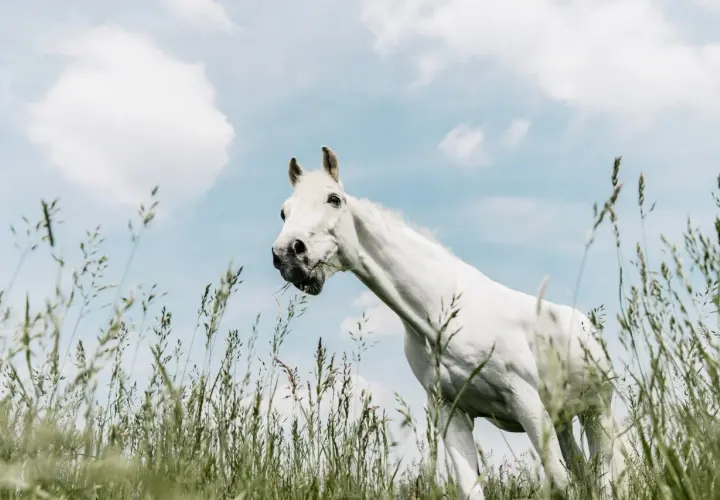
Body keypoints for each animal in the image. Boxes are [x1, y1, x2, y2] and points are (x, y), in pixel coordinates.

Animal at [270, 146, 628, 499]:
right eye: (284, 212)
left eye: (334, 199)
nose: (288, 254)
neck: (443, 312)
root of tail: (586, 325)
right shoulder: (451, 413)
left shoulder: (527, 402)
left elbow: (560, 483)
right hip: (564, 419)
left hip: (597, 413)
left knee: (601, 476)